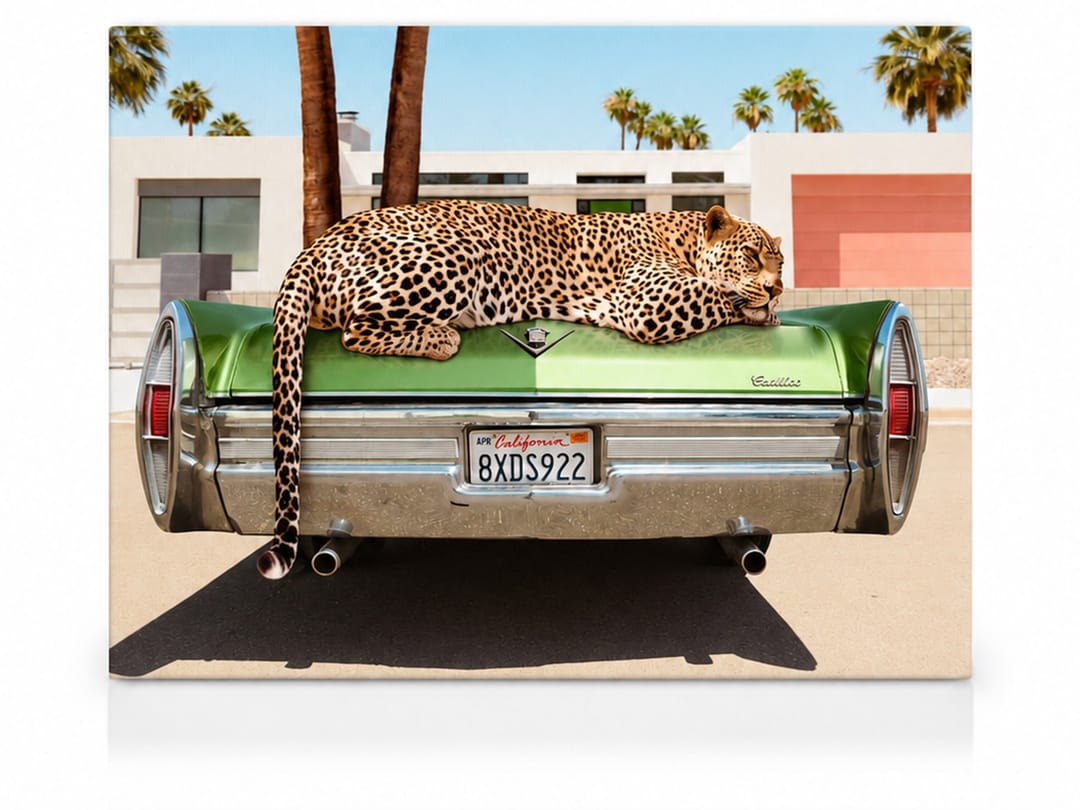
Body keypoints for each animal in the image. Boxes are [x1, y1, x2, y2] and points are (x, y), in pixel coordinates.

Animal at [257, 199, 784, 579]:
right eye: (751, 254)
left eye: (781, 262)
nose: (778, 288)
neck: (682, 238)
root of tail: (315, 244)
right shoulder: (651, 301)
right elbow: (719, 294)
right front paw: (761, 309)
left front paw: (769, 308)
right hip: (457, 254)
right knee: (355, 329)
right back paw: (443, 335)